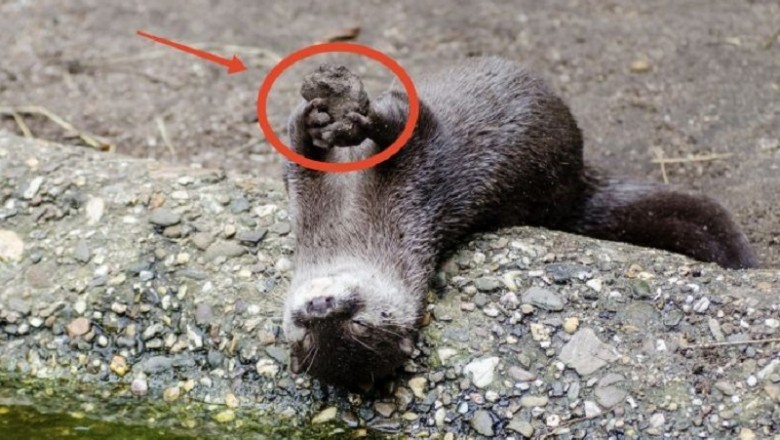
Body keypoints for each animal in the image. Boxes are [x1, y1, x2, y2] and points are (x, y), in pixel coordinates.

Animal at [281, 58, 757, 386]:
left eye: (359, 324)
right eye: (306, 336)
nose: (319, 308)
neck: (352, 227)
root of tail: (576, 182)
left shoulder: (410, 182)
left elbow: (399, 126)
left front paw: (345, 116)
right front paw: (315, 122)